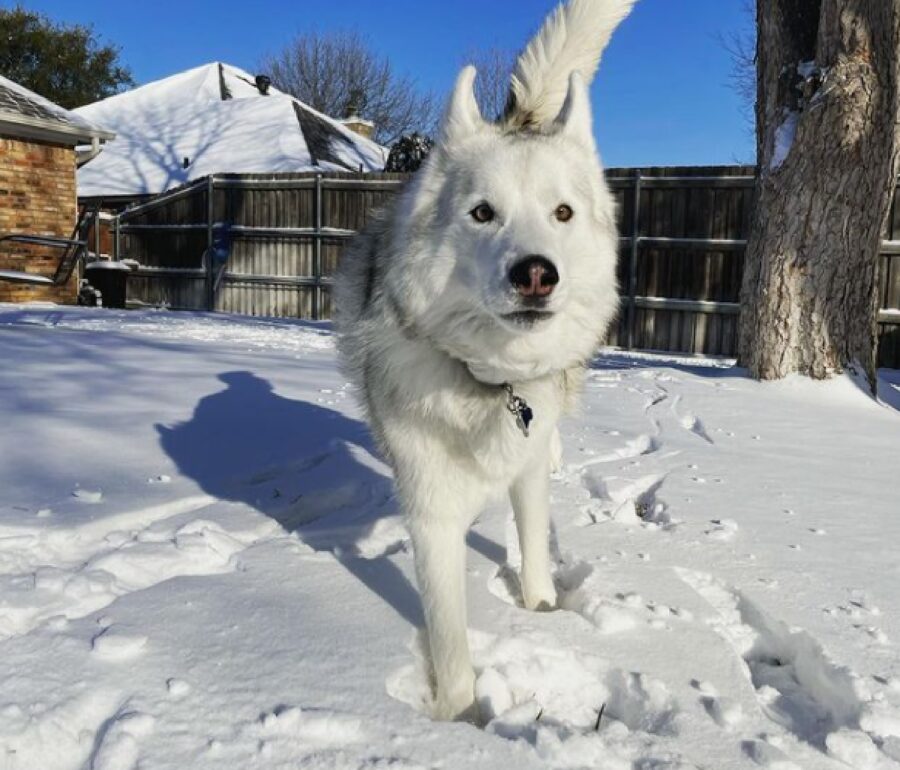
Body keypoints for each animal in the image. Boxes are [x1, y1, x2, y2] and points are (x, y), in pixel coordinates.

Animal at [334, 0, 636, 720]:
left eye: (562, 212)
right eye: (481, 213)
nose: (536, 274)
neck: (494, 383)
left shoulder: (524, 472)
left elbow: (533, 543)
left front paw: (541, 609)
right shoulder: (431, 512)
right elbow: (447, 636)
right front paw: (459, 716)